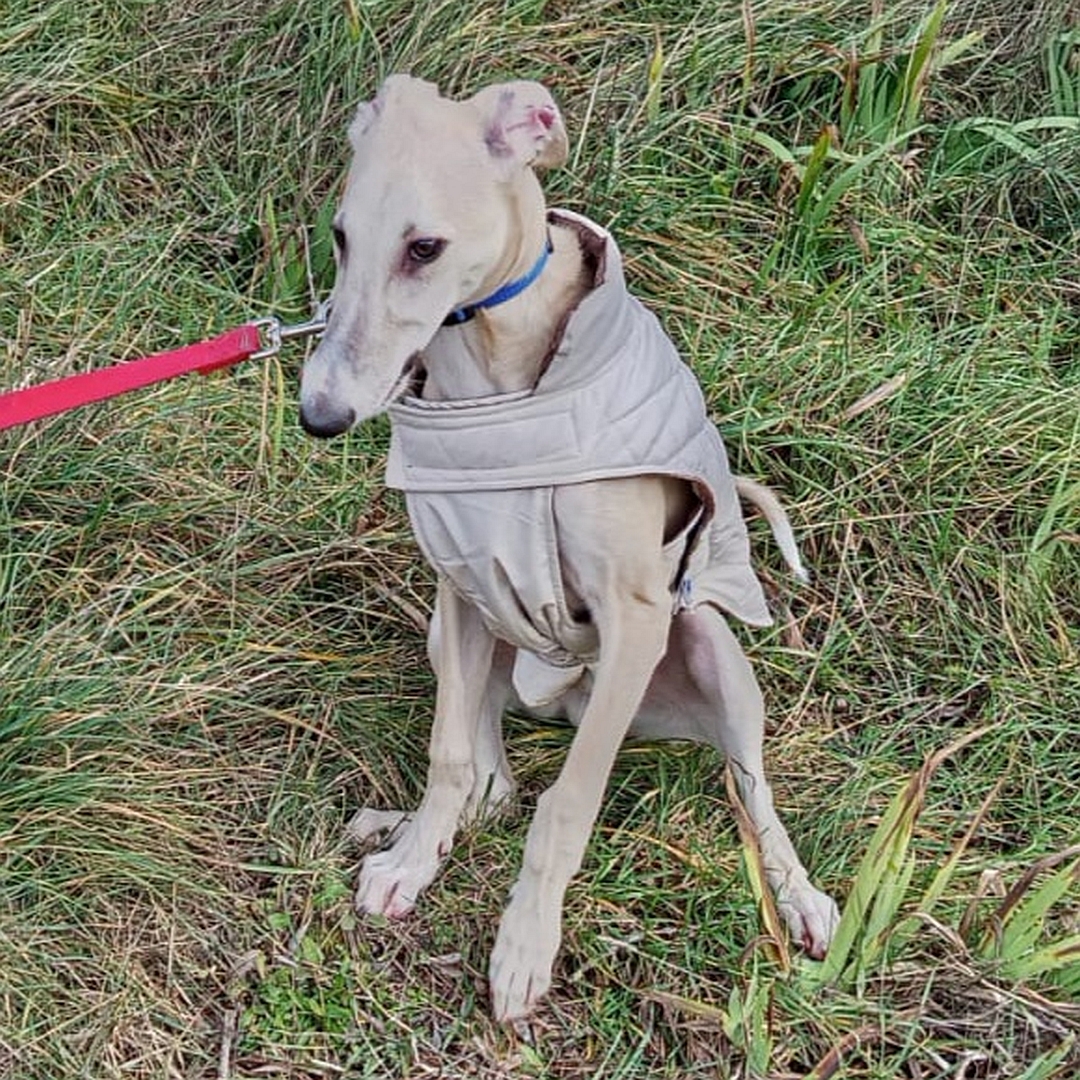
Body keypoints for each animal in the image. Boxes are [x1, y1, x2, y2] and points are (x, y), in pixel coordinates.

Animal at [300, 73, 838, 1019]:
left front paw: (525, 946)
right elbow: (449, 759)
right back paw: (409, 827)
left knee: (750, 785)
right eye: (340, 235)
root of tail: (564, 698)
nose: (319, 415)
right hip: (456, 636)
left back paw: (798, 894)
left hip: (709, 652)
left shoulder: (635, 619)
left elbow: (567, 805)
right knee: (492, 784)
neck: (494, 388)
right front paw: (412, 860)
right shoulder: (461, 584)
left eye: (425, 247)